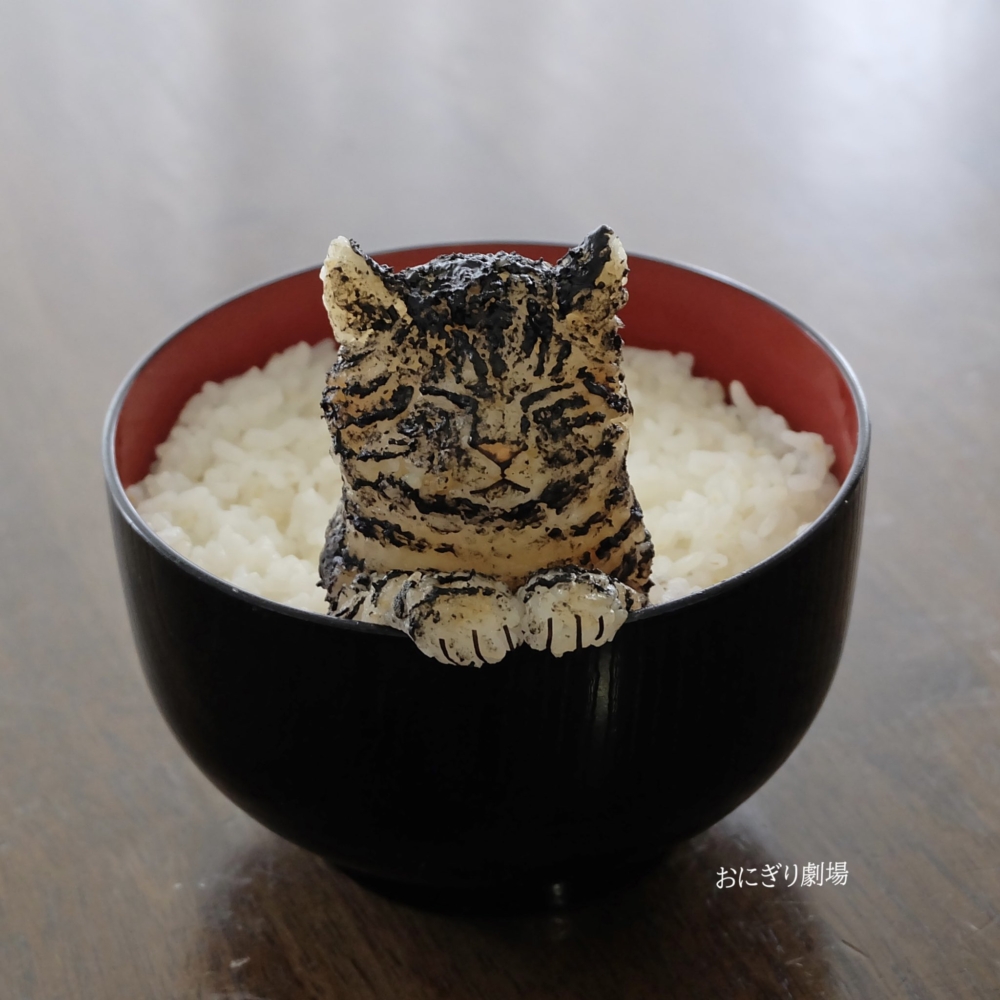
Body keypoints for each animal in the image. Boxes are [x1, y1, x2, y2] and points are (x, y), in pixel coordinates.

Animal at [318, 226, 654, 666]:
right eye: (445, 395)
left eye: (544, 394)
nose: (500, 450)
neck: (501, 539)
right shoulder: (343, 579)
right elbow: (389, 586)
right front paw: (468, 612)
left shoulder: (641, 575)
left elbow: (616, 589)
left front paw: (575, 600)